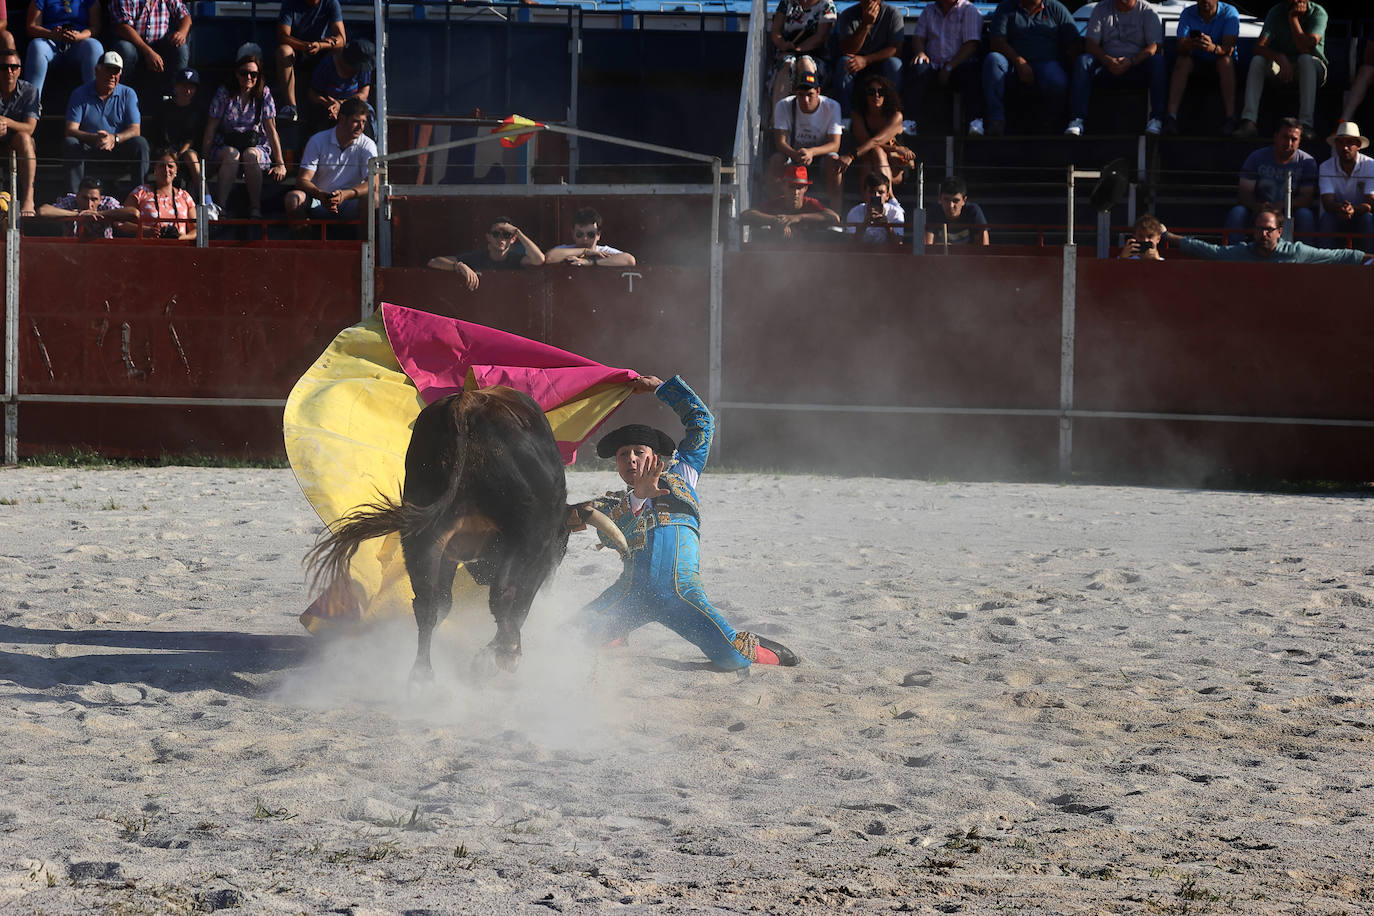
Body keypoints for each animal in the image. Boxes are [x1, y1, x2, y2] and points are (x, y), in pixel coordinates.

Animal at [307, 387, 629, 681]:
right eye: (563, 545)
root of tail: (467, 404)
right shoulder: (537, 552)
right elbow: (520, 602)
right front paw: (499, 655)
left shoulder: (451, 553)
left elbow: (444, 603)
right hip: (522, 535)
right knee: (502, 594)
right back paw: (503, 654)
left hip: (425, 533)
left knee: (428, 603)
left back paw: (422, 677)